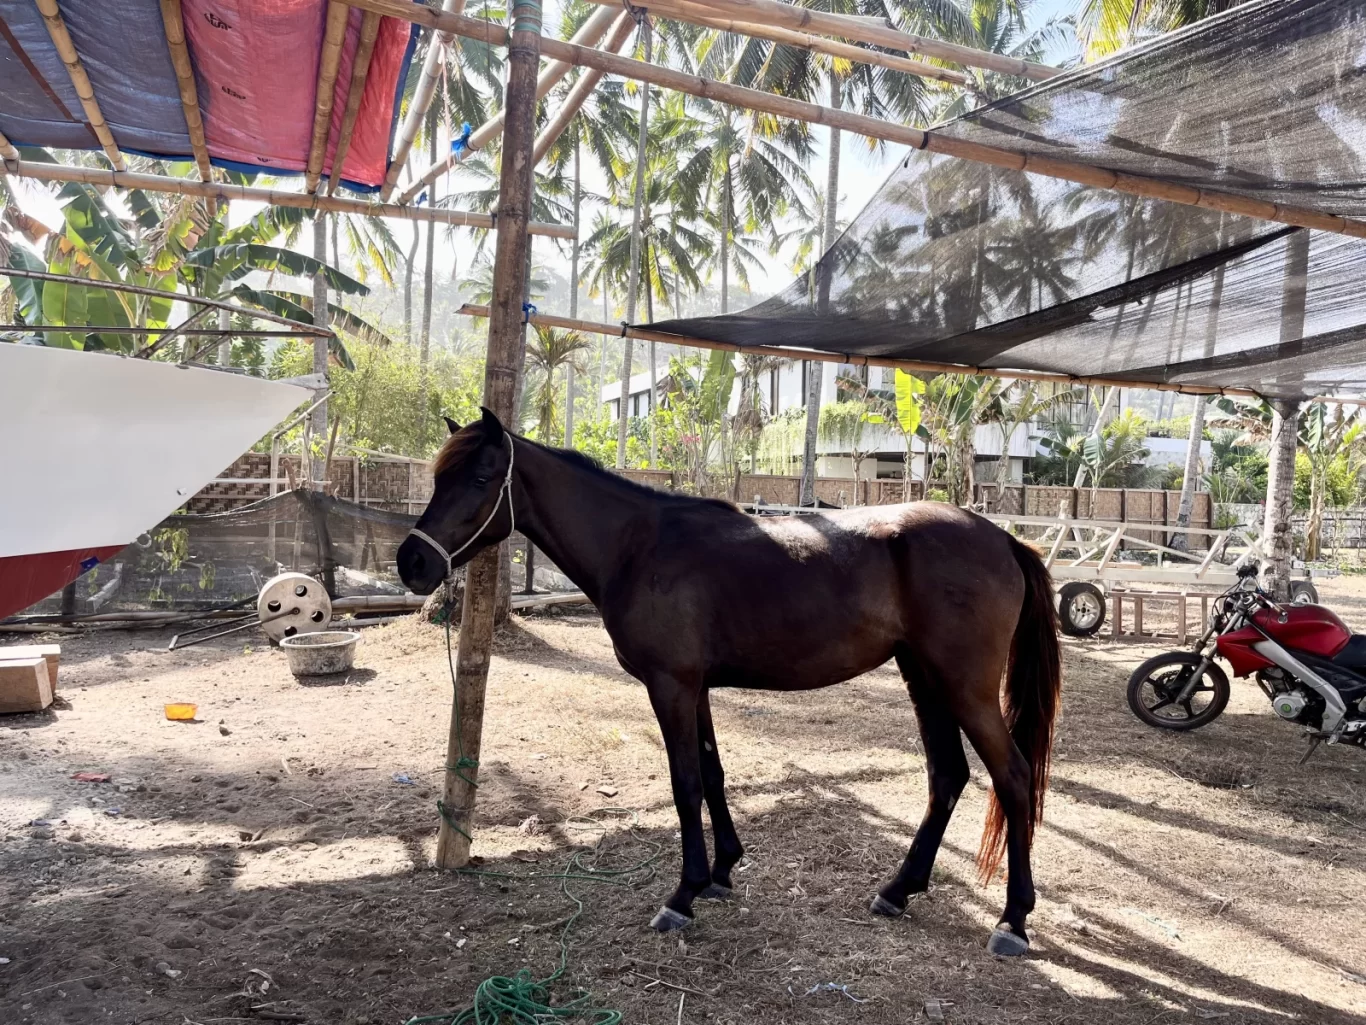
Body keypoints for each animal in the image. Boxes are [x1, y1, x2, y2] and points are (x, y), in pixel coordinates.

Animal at [397, 408, 1062, 956]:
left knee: (1012, 777)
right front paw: (721, 873)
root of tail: (1002, 538)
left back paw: (1013, 920)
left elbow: (686, 783)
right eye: (441, 476)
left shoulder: (670, 686)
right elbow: (714, 774)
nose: (413, 562)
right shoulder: (697, 689)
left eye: (481, 478)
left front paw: (683, 895)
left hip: (964, 687)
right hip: (924, 678)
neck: (639, 545)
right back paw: (898, 890)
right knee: (947, 775)